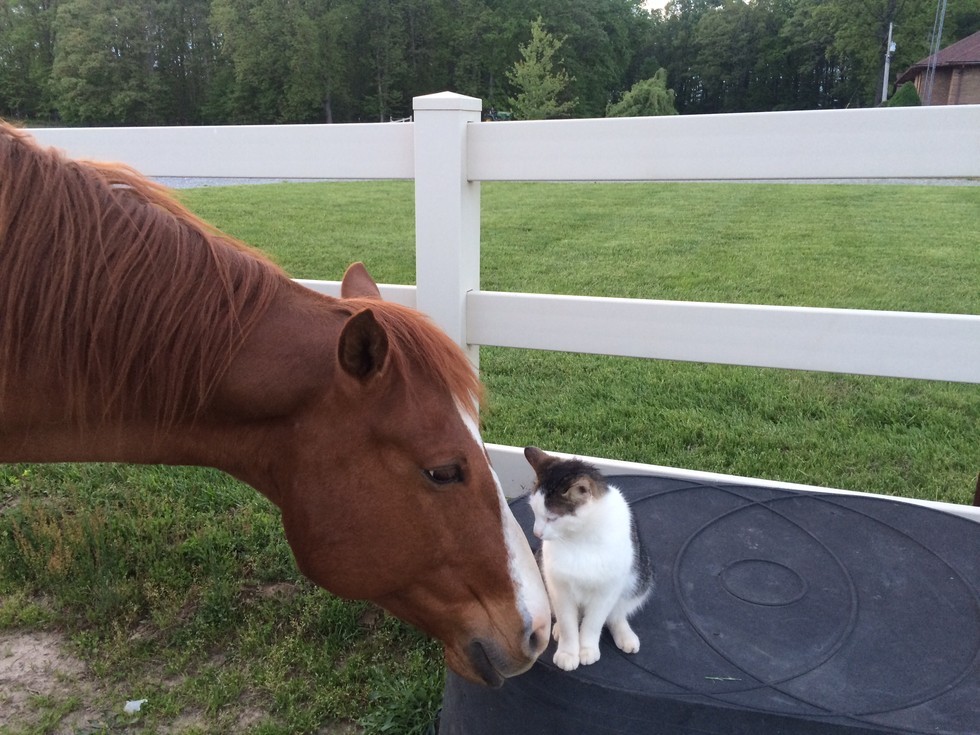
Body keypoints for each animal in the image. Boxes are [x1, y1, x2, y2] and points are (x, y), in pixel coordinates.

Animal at [524, 448, 656, 672]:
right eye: (535, 512)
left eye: (552, 518)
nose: (537, 533)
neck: (578, 538)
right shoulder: (559, 587)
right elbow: (568, 623)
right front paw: (568, 652)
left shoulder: (607, 590)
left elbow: (594, 623)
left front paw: (587, 648)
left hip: (639, 581)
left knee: (615, 614)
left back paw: (624, 634)